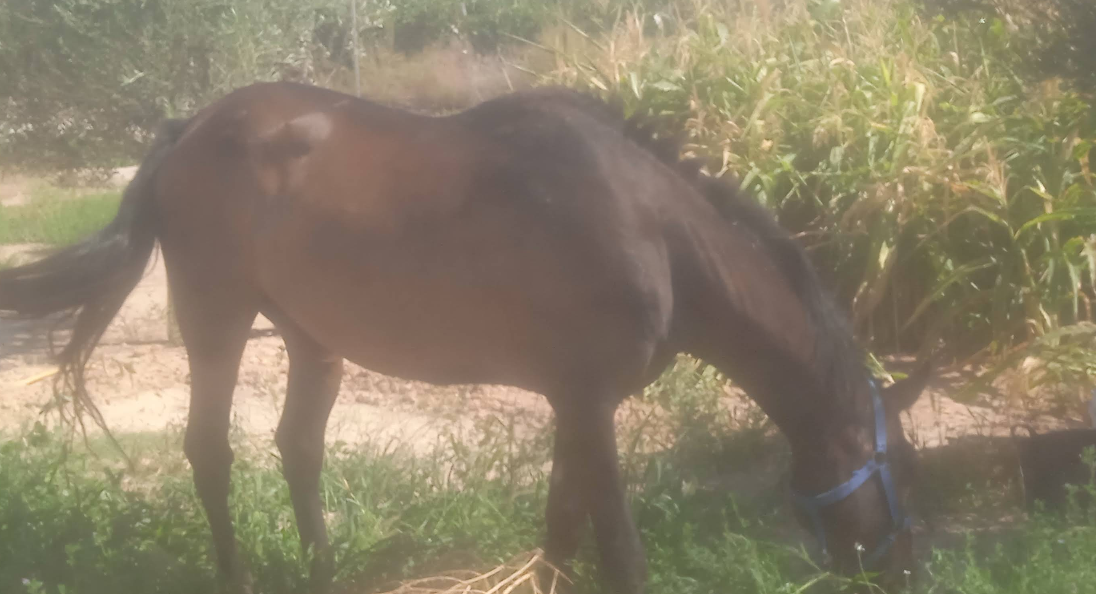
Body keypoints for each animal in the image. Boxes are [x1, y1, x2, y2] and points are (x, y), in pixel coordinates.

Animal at [0, 81, 931, 593]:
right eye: (911, 470)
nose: (907, 571)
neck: (653, 231)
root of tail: (189, 128)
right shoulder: (590, 402)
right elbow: (619, 552)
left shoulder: (575, 405)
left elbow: (562, 527)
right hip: (215, 317)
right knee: (211, 453)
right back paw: (238, 578)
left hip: (312, 338)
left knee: (298, 448)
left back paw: (325, 574)